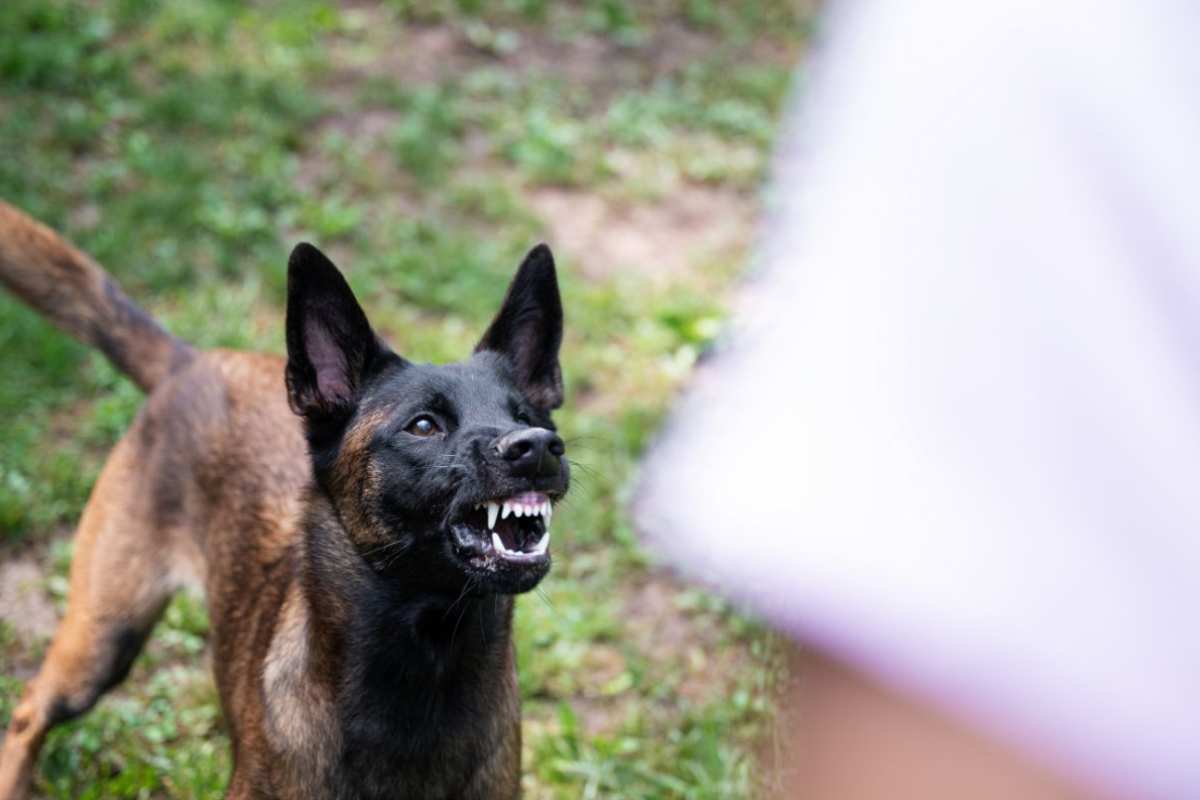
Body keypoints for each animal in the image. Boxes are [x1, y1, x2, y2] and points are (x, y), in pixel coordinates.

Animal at [0, 201, 568, 800]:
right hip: (104, 634)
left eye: (527, 416)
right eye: (423, 425)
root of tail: (189, 362)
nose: (537, 447)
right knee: (31, 709)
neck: (428, 659)